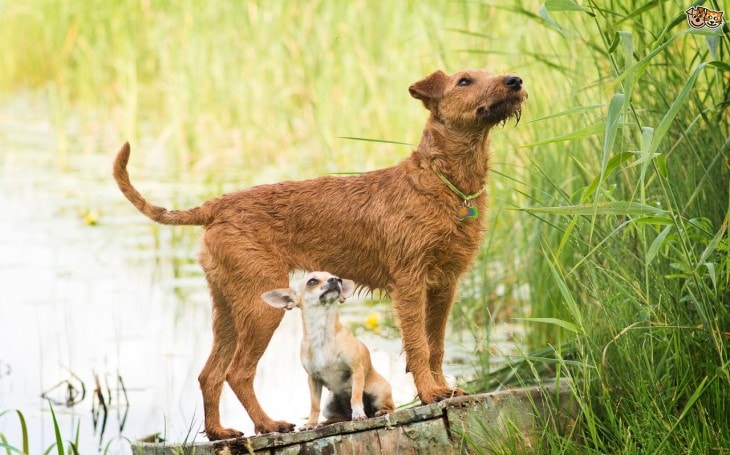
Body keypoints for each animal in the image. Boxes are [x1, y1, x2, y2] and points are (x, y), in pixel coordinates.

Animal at [264, 272, 392, 430]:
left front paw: (358, 414)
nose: (336, 280)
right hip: (329, 406)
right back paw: (323, 423)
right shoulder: (313, 379)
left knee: (389, 407)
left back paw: (379, 412)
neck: (322, 333)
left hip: (379, 392)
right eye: (312, 281)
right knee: (338, 417)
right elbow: (314, 405)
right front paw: (310, 424)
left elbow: (355, 396)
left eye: (338, 278)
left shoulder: (356, 370)